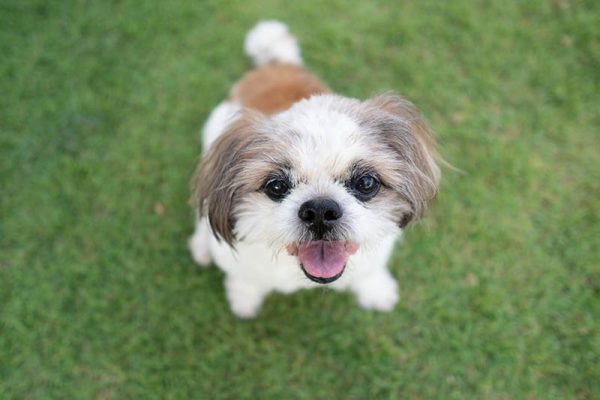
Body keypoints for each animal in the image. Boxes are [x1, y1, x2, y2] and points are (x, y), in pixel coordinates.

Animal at [189, 20, 440, 318]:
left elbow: (370, 271)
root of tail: (277, 65)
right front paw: (244, 298)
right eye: (276, 186)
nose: (320, 210)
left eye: (366, 183)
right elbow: (245, 278)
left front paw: (376, 289)